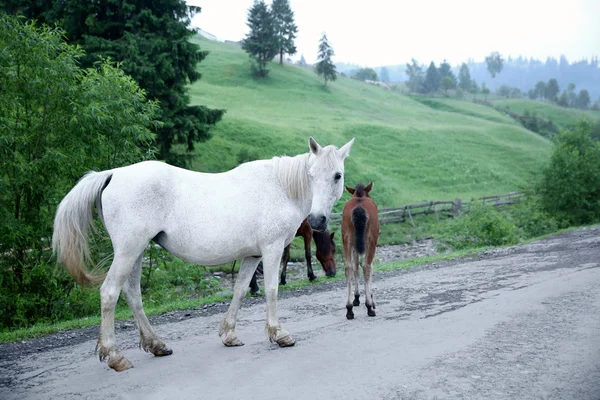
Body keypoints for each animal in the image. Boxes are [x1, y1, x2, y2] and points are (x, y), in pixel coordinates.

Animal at [51, 138, 354, 372]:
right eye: (311, 174)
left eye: (337, 175)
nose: (317, 220)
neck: (280, 188)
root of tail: (113, 173)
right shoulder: (272, 249)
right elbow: (271, 290)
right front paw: (279, 334)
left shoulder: (252, 256)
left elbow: (240, 291)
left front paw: (229, 334)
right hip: (129, 250)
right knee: (110, 293)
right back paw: (115, 356)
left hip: (135, 252)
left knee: (133, 294)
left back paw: (156, 344)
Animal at [342, 181, 380, 318]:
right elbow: (368, 266)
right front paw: (371, 299)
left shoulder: (355, 246)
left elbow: (355, 267)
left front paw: (356, 298)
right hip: (371, 239)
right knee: (367, 266)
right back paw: (369, 306)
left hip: (346, 238)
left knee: (348, 267)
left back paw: (349, 309)